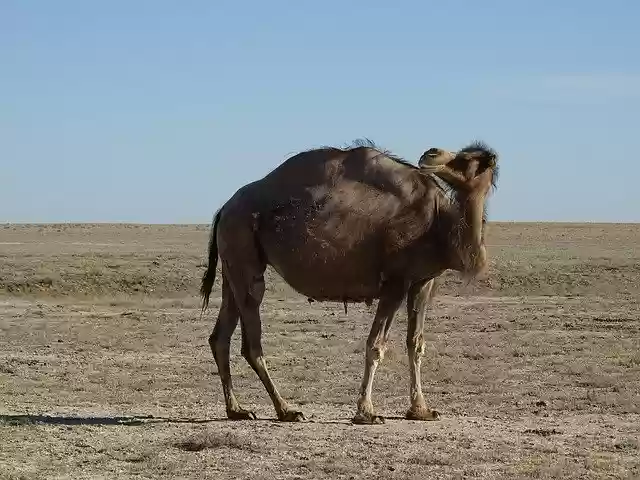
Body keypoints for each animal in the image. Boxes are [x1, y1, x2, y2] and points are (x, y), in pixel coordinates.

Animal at [200, 139, 499, 424]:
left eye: (468, 159)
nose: (431, 153)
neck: (439, 224)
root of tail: (224, 209)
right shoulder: (395, 282)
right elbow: (376, 345)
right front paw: (366, 413)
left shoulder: (423, 282)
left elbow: (416, 344)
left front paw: (421, 410)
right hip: (243, 250)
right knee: (251, 340)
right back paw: (286, 410)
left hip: (233, 264)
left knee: (220, 336)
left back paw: (237, 410)